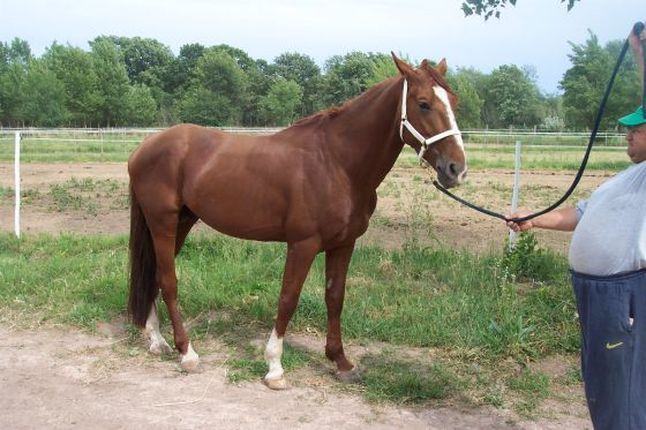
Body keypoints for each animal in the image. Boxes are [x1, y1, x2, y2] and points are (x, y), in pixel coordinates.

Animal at [129, 53, 468, 390]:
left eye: (454, 101)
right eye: (423, 103)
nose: (456, 169)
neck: (337, 163)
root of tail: (143, 148)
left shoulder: (344, 244)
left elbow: (335, 297)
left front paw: (341, 362)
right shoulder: (303, 244)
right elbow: (288, 299)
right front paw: (275, 368)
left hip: (183, 222)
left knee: (155, 276)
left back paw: (157, 340)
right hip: (163, 223)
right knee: (169, 281)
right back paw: (186, 352)